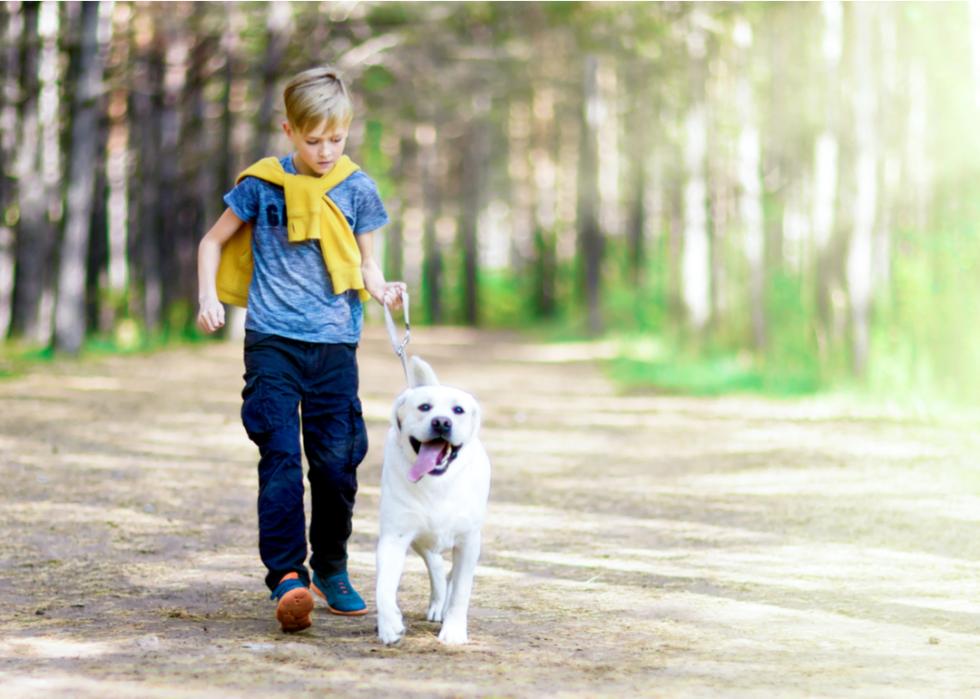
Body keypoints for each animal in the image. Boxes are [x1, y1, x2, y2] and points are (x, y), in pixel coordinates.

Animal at [378, 358, 494, 648]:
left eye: (458, 410)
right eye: (424, 407)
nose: (442, 422)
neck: (436, 482)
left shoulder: (468, 541)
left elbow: (461, 591)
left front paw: (453, 631)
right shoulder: (394, 537)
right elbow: (383, 586)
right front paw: (389, 626)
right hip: (421, 539)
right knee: (436, 566)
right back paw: (436, 604)